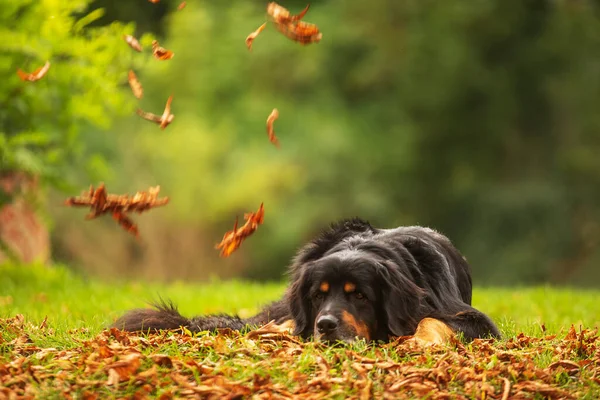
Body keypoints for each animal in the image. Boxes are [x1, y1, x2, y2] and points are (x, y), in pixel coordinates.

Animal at [113, 219, 502, 344]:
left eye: (360, 296)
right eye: (318, 295)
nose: (325, 324)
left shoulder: (473, 319)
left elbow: (433, 320)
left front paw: (420, 340)